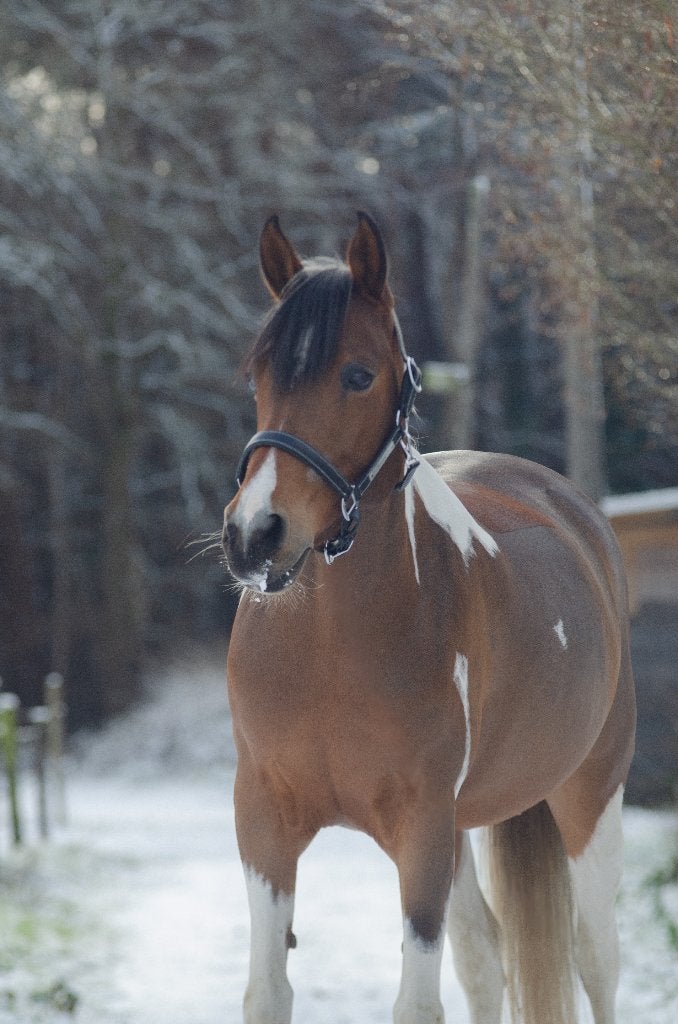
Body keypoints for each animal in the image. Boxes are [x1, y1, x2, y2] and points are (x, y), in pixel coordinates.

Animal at [221, 212, 636, 1024]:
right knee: (485, 958)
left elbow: (416, 1001)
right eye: (259, 376)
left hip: (589, 796)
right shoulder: (264, 820)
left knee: (596, 960)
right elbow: (267, 992)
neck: (328, 649)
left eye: (358, 374)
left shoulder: (422, 832)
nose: (256, 535)